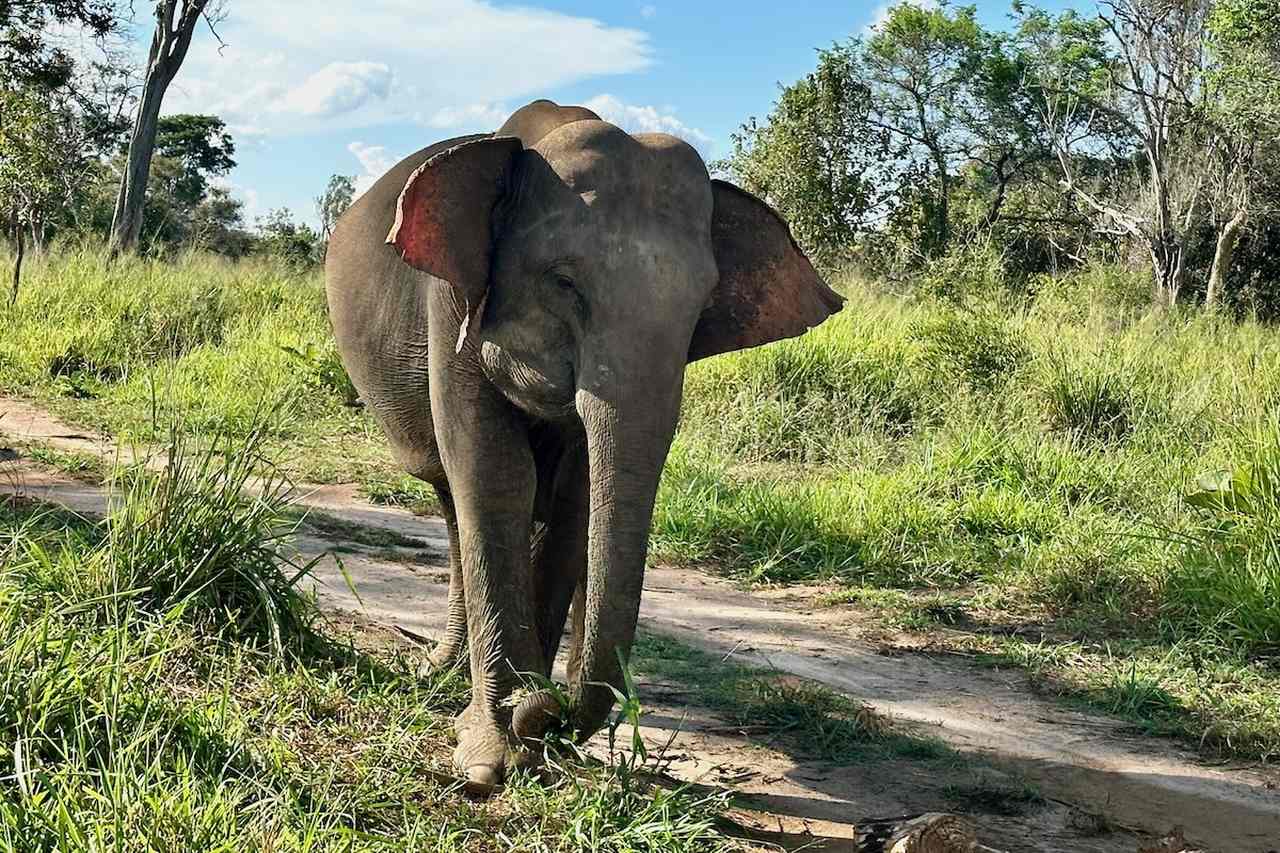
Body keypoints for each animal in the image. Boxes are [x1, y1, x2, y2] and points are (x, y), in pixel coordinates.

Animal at [325, 97, 844, 783]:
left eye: (703, 304)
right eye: (564, 282)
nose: (553, 713)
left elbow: (573, 500)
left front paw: (527, 737)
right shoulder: (450, 305)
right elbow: (495, 477)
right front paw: (492, 755)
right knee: (451, 495)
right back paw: (444, 675)